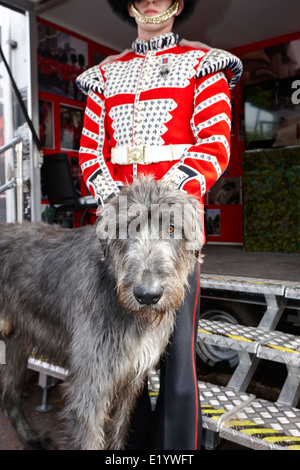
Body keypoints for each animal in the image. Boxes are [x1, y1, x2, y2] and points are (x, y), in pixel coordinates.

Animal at [0, 177, 203, 452]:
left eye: (172, 228)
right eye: (126, 228)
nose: (147, 296)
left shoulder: (131, 380)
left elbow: (119, 429)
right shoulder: (90, 386)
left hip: (17, 341)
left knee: (9, 394)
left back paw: (31, 438)